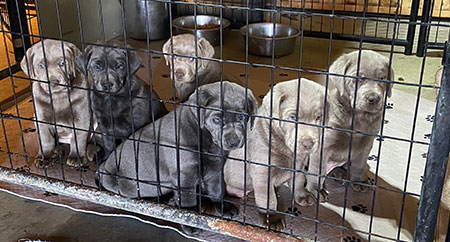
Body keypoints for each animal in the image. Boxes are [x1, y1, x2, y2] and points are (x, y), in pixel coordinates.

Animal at [20, 39, 91, 168]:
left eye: (63, 63)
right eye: (41, 66)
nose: (53, 82)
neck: (58, 96)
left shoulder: (81, 116)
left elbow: (78, 138)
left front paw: (76, 157)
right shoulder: (41, 118)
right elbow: (46, 140)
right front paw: (44, 156)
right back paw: (55, 152)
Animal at [98, 82, 258, 219]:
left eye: (242, 117)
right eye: (217, 119)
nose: (234, 142)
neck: (205, 138)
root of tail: (103, 168)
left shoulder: (215, 171)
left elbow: (217, 190)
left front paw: (223, 207)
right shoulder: (184, 177)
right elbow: (188, 203)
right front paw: (190, 222)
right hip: (132, 186)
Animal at [224, 78, 326, 230]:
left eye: (318, 117)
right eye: (293, 117)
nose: (308, 144)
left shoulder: (299, 165)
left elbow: (299, 180)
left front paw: (302, 195)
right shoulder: (262, 173)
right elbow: (268, 200)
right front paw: (272, 220)